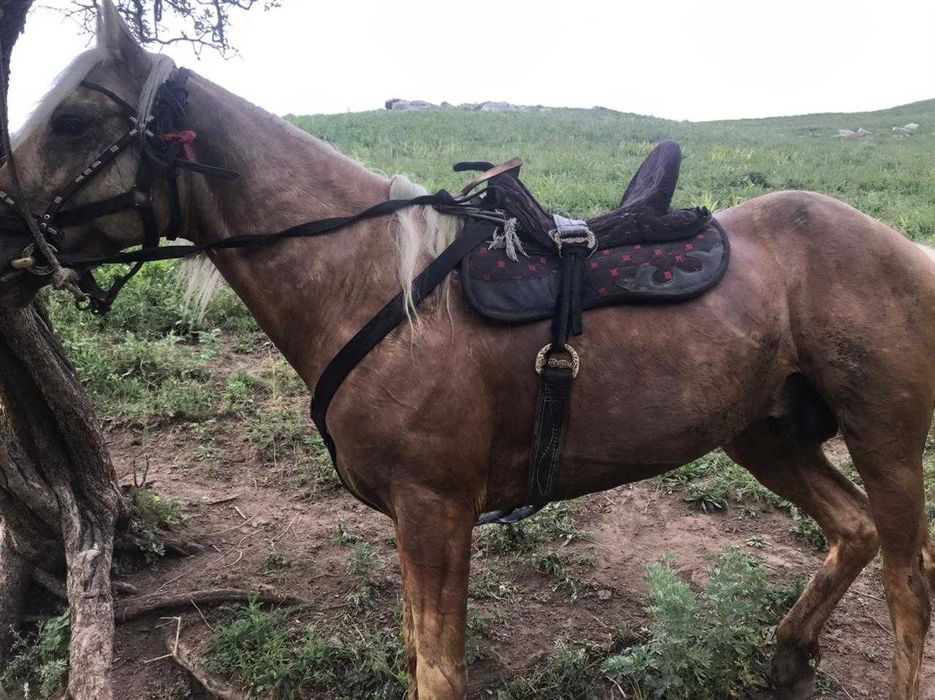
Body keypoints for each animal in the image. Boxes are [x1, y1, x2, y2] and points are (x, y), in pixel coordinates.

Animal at [2, 4, 934, 698]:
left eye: (74, 118)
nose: (6, 232)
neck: (372, 285)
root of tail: (907, 249)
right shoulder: (418, 519)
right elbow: (422, 657)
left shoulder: (436, 511)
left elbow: (438, 672)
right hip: (760, 432)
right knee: (850, 530)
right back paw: (787, 654)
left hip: (884, 441)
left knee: (906, 579)